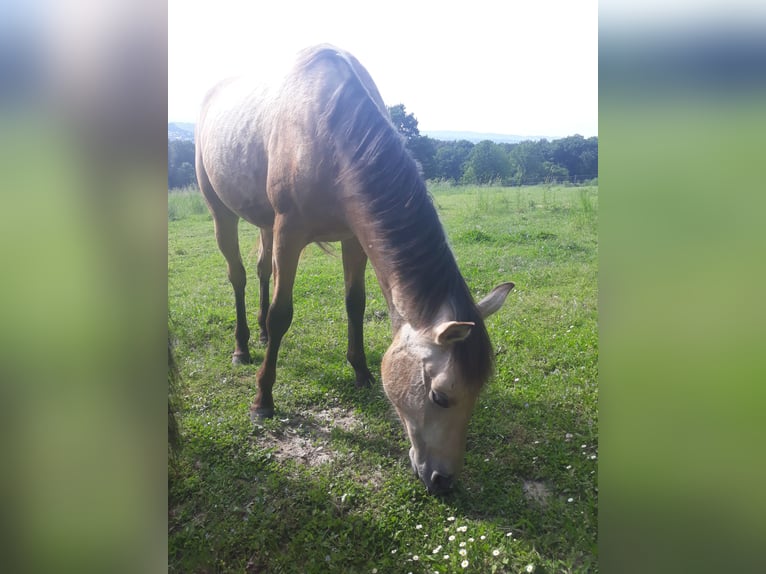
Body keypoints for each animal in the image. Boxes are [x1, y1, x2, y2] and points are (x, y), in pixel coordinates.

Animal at [195, 45, 514, 494]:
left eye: (478, 393)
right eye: (439, 396)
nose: (443, 480)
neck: (327, 132)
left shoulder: (353, 237)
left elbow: (355, 303)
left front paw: (361, 370)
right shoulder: (289, 231)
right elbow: (282, 314)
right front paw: (263, 399)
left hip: (263, 221)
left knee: (260, 271)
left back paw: (258, 334)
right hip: (220, 210)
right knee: (238, 275)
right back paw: (242, 347)